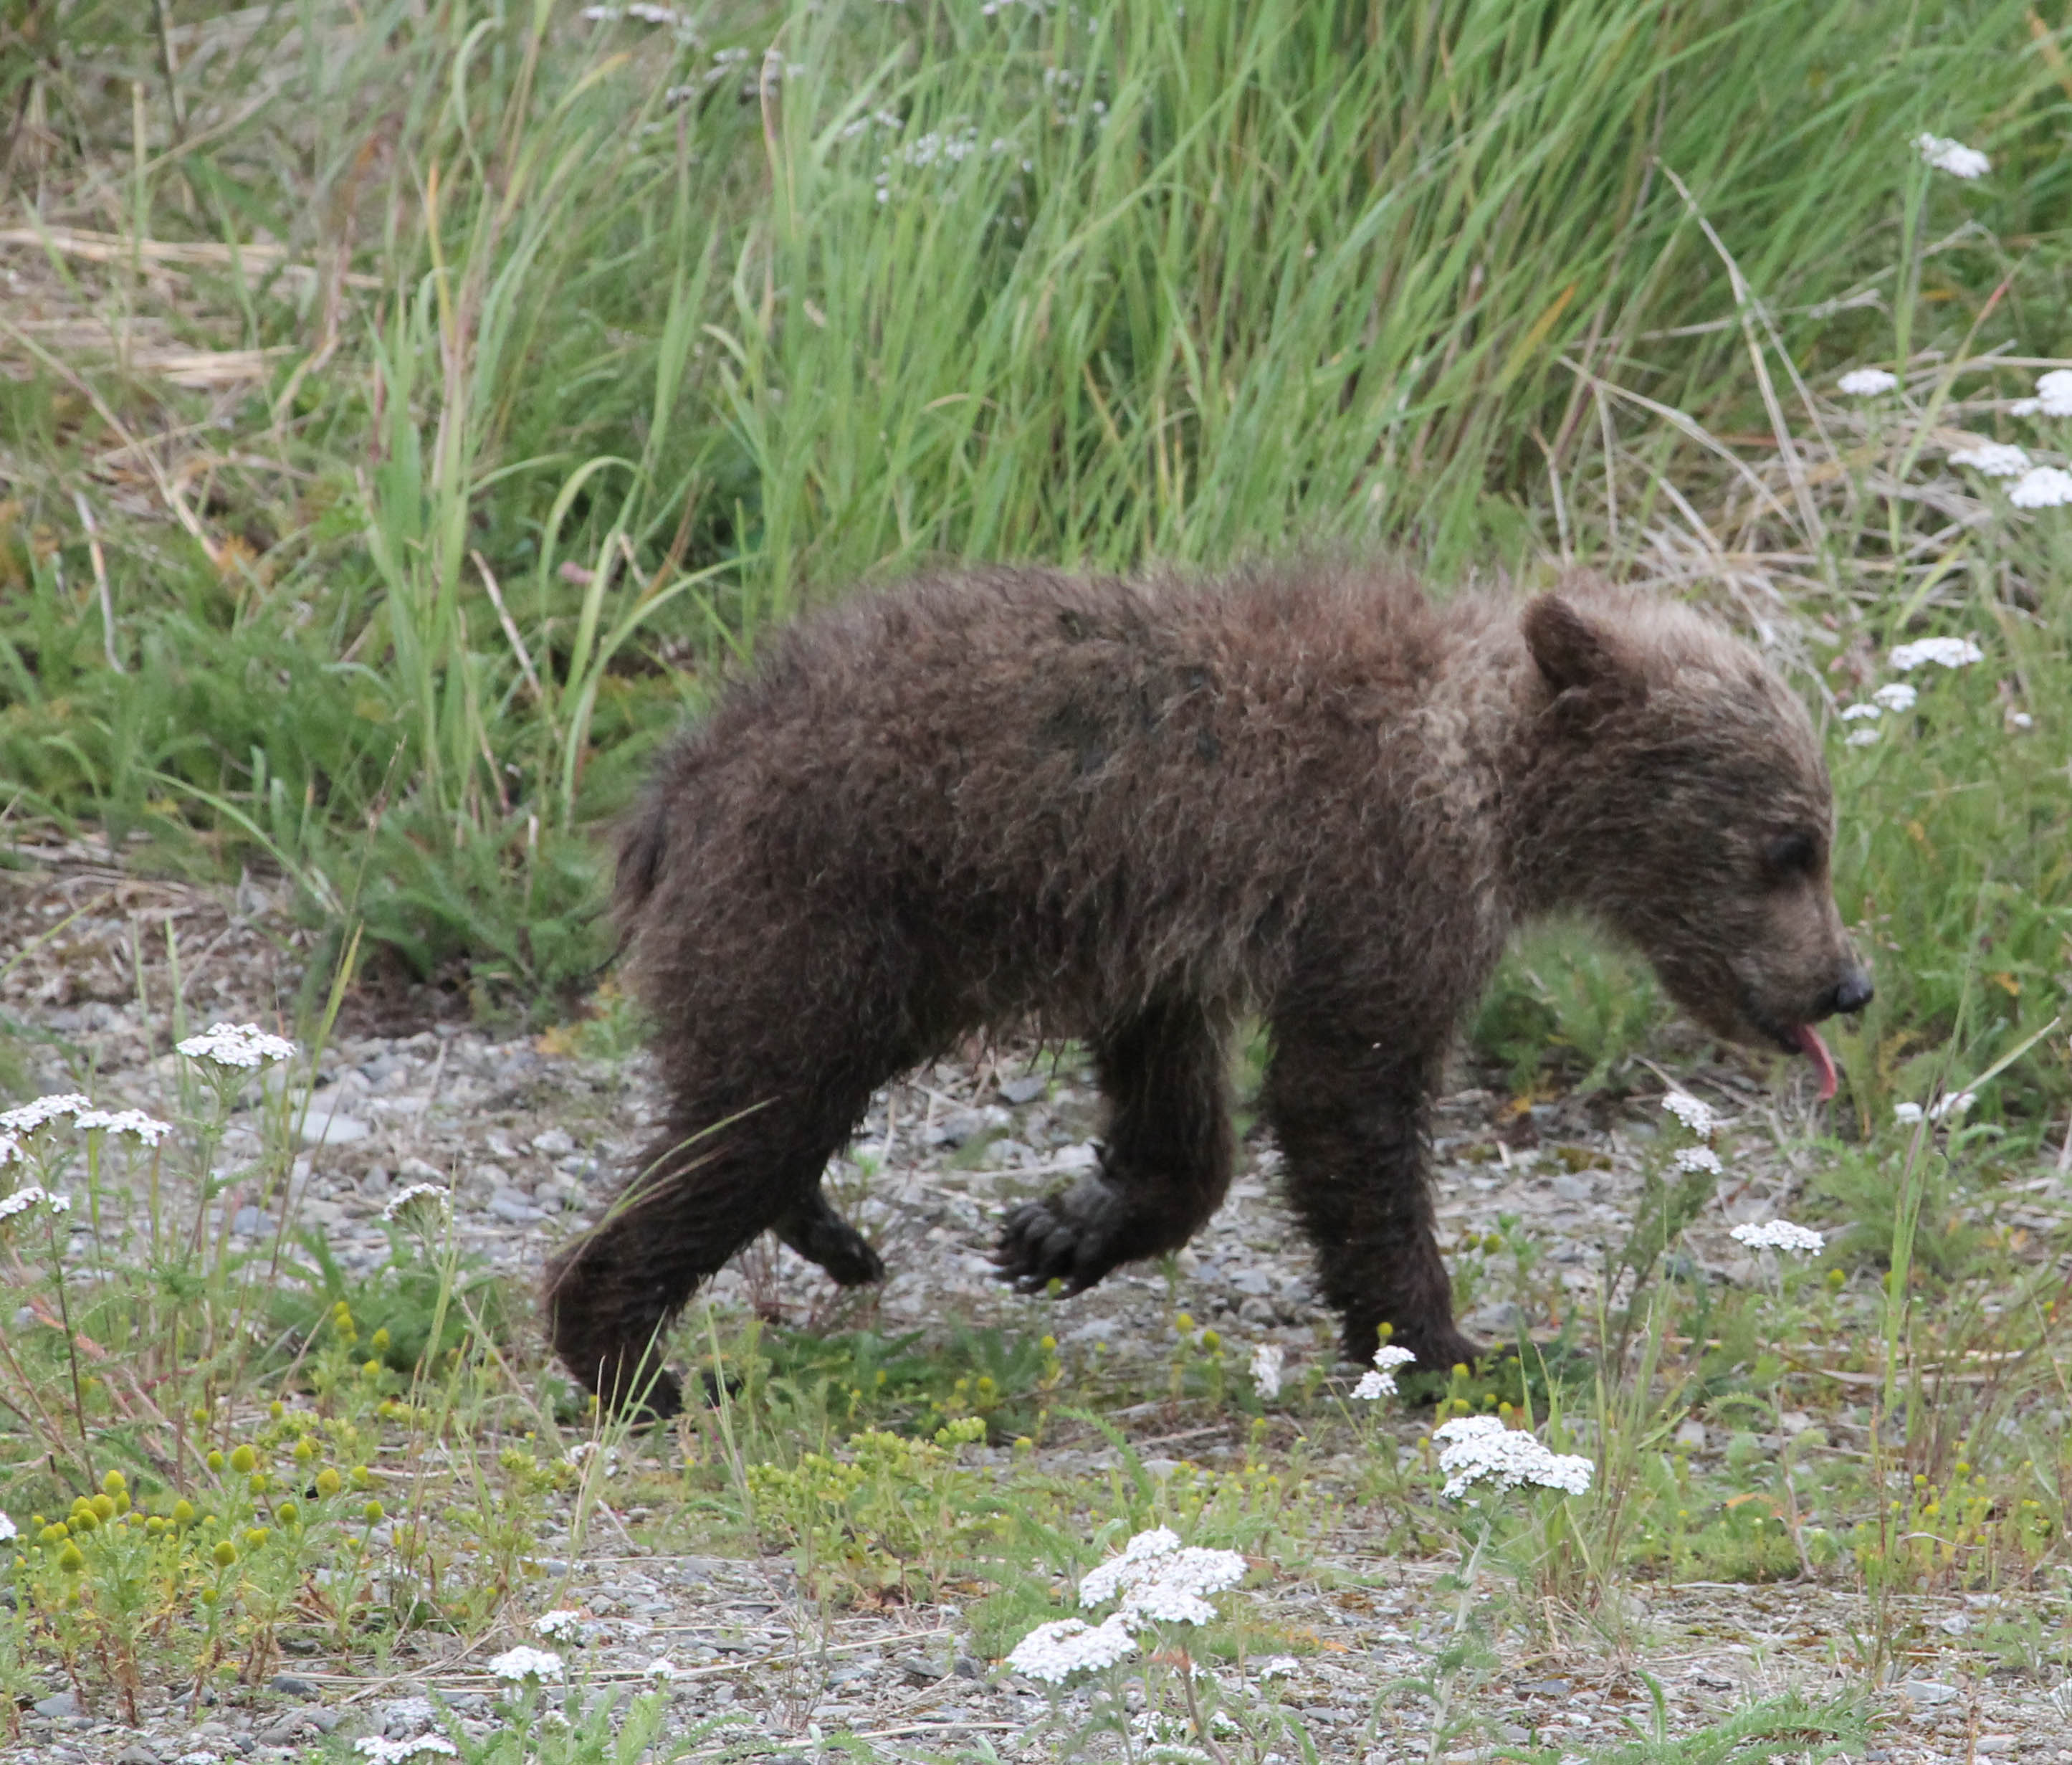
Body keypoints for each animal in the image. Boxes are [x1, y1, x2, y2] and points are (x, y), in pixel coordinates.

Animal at [544, 563, 1871, 1416]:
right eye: (1788, 845)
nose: (1846, 980)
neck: (1493, 778)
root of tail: (677, 784)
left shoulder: (1163, 928)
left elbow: (1178, 1104)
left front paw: (1061, 1230)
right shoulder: (1384, 881)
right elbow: (1347, 1097)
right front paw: (1452, 1344)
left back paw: (814, 1238)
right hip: (823, 912)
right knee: (751, 1118)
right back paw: (632, 1360)